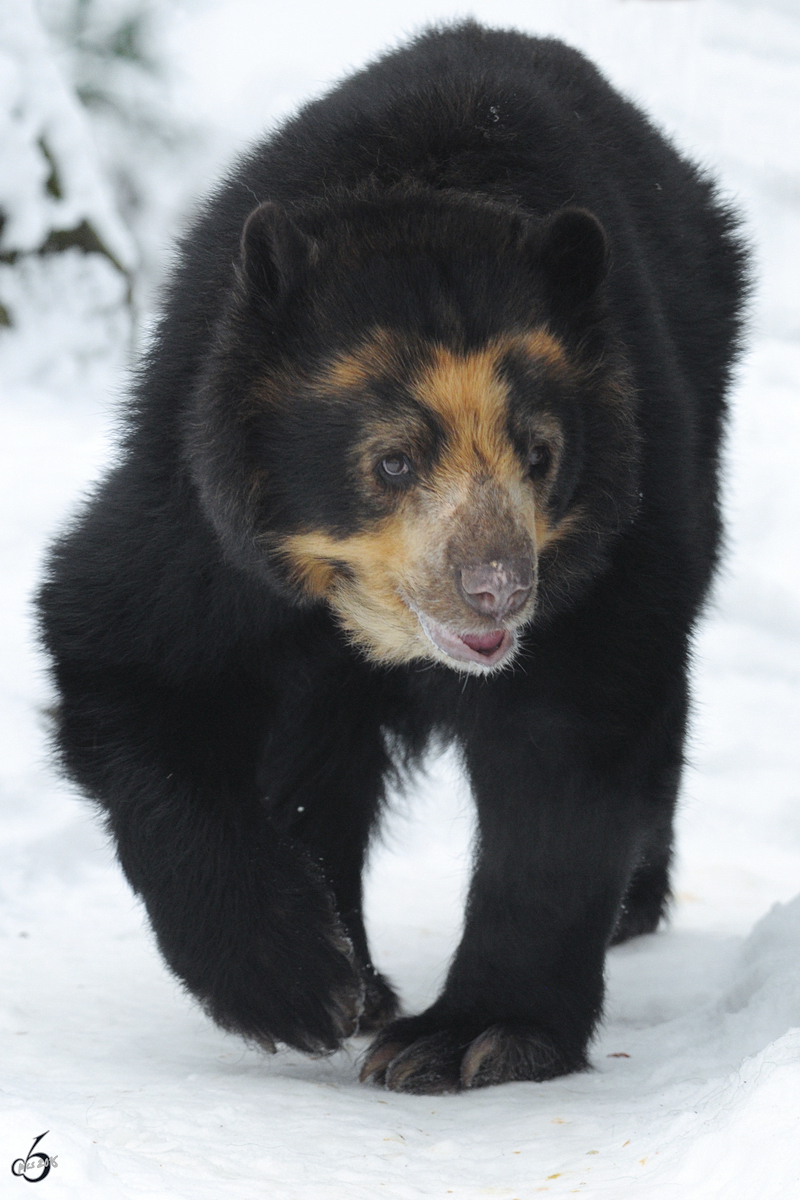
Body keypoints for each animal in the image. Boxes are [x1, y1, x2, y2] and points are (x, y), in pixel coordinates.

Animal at [38, 21, 753, 1099]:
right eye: (391, 460)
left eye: (539, 452)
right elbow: (129, 662)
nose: (496, 589)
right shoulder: (197, 523)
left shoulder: (616, 539)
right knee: (313, 760)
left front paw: (469, 1038)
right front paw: (298, 988)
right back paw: (360, 974)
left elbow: (569, 755)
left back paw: (630, 906)